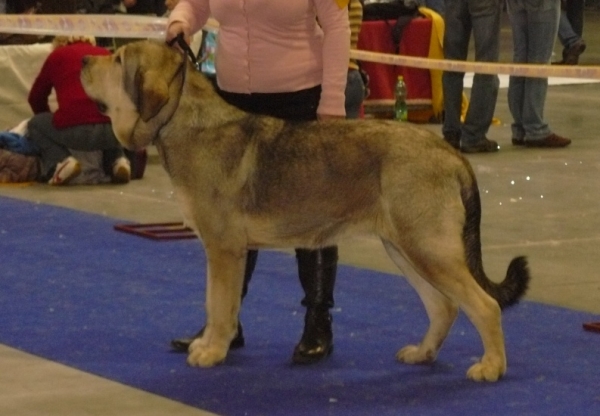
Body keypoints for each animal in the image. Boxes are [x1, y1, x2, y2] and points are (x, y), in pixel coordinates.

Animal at [79, 40, 528, 382]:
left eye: (117, 59)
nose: (83, 59)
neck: (183, 121)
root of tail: (449, 152)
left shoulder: (224, 248)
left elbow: (220, 305)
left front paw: (212, 351)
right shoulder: (222, 249)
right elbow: (215, 302)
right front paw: (207, 343)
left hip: (428, 248)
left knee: (483, 305)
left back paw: (491, 367)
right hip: (405, 247)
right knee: (444, 306)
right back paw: (422, 353)